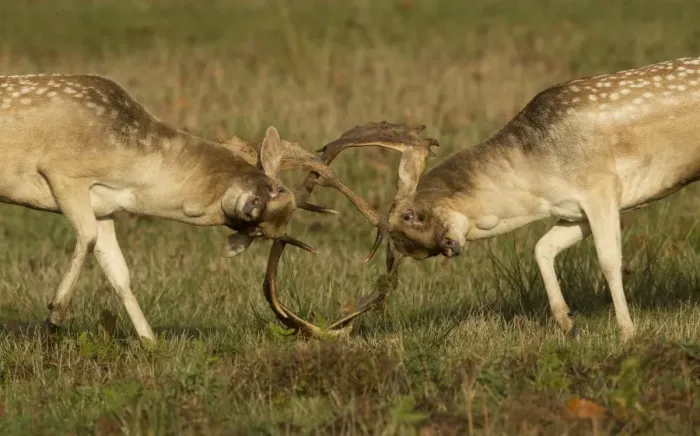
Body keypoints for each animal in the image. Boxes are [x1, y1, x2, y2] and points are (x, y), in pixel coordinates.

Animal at [0, 73, 381, 342]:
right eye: (278, 188)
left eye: (259, 232)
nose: (252, 208)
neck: (131, 170)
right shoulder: (62, 171)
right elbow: (88, 236)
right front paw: (54, 316)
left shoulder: (104, 205)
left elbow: (119, 272)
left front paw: (151, 342)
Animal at [267, 56, 700, 341]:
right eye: (414, 252)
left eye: (410, 217)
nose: (449, 246)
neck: (538, 179)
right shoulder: (574, 210)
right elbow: (542, 247)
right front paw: (567, 322)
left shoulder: (602, 188)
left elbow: (610, 261)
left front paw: (627, 332)